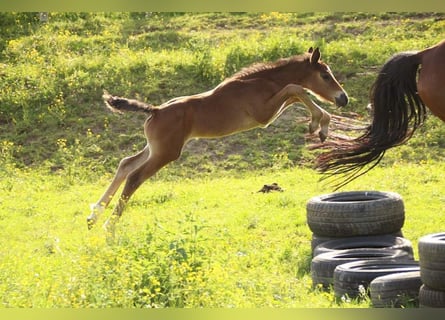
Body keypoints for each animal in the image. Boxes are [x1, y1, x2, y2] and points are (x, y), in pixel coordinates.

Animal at [86, 47, 346, 232]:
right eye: (325, 75)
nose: (343, 98)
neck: (261, 82)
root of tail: (155, 110)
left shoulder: (271, 110)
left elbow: (296, 93)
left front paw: (321, 124)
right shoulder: (264, 115)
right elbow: (296, 88)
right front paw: (320, 124)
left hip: (154, 148)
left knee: (125, 164)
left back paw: (93, 216)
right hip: (166, 153)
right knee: (134, 177)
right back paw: (109, 227)